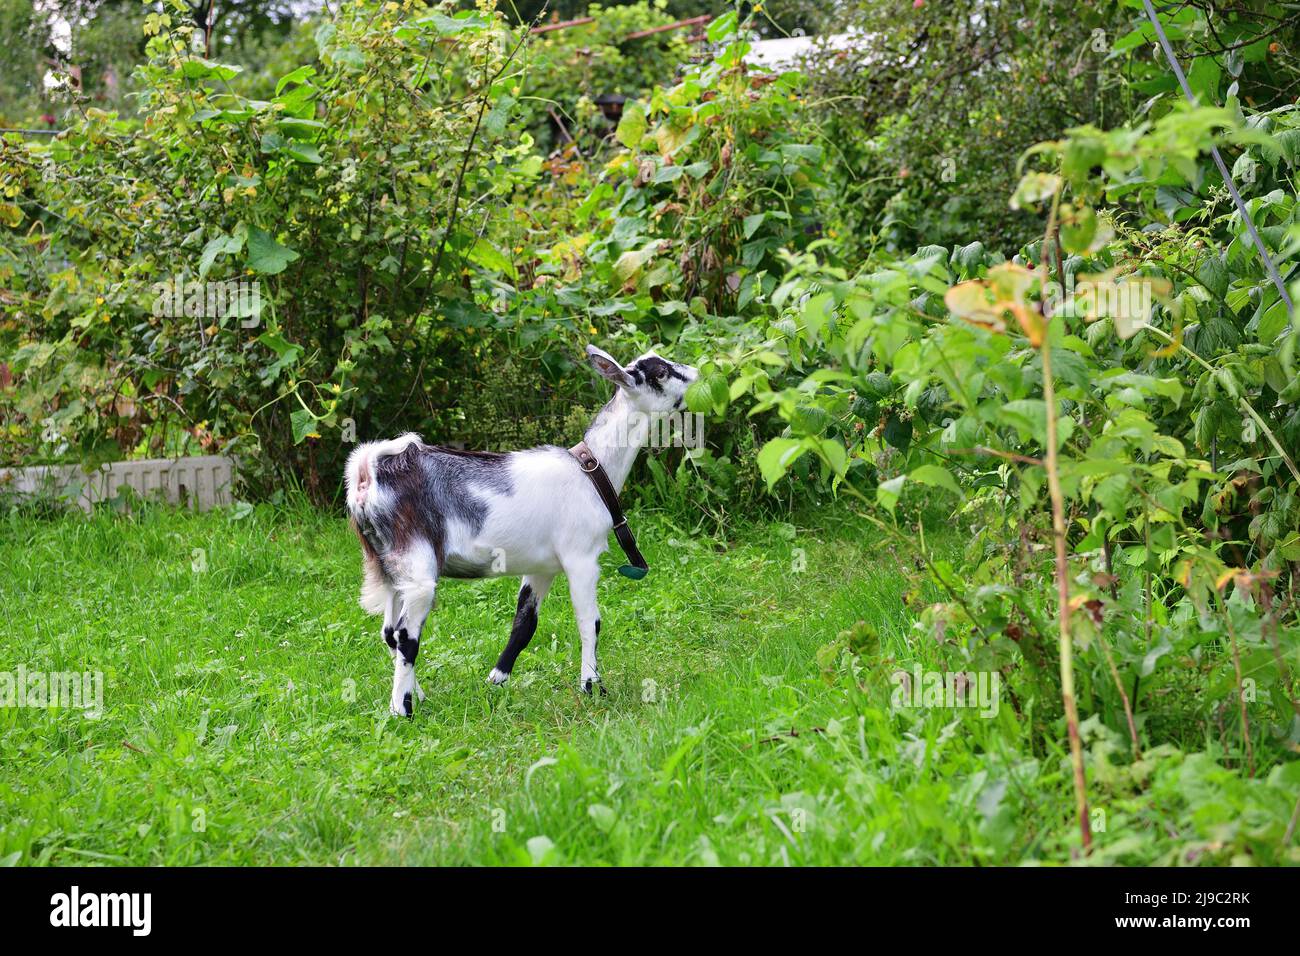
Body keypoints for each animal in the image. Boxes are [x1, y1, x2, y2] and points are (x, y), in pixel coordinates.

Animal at [345, 345, 699, 715]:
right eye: (660, 372)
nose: (696, 373)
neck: (592, 470)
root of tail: (369, 472)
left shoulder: (542, 568)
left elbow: (525, 624)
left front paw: (496, 680)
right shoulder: (581, 558)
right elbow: (590, 621)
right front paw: (593, 687)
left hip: (389, 568)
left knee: (389, 632)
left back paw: (418, 695)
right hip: (417, 567)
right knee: (405, 635)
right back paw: (403, 710)